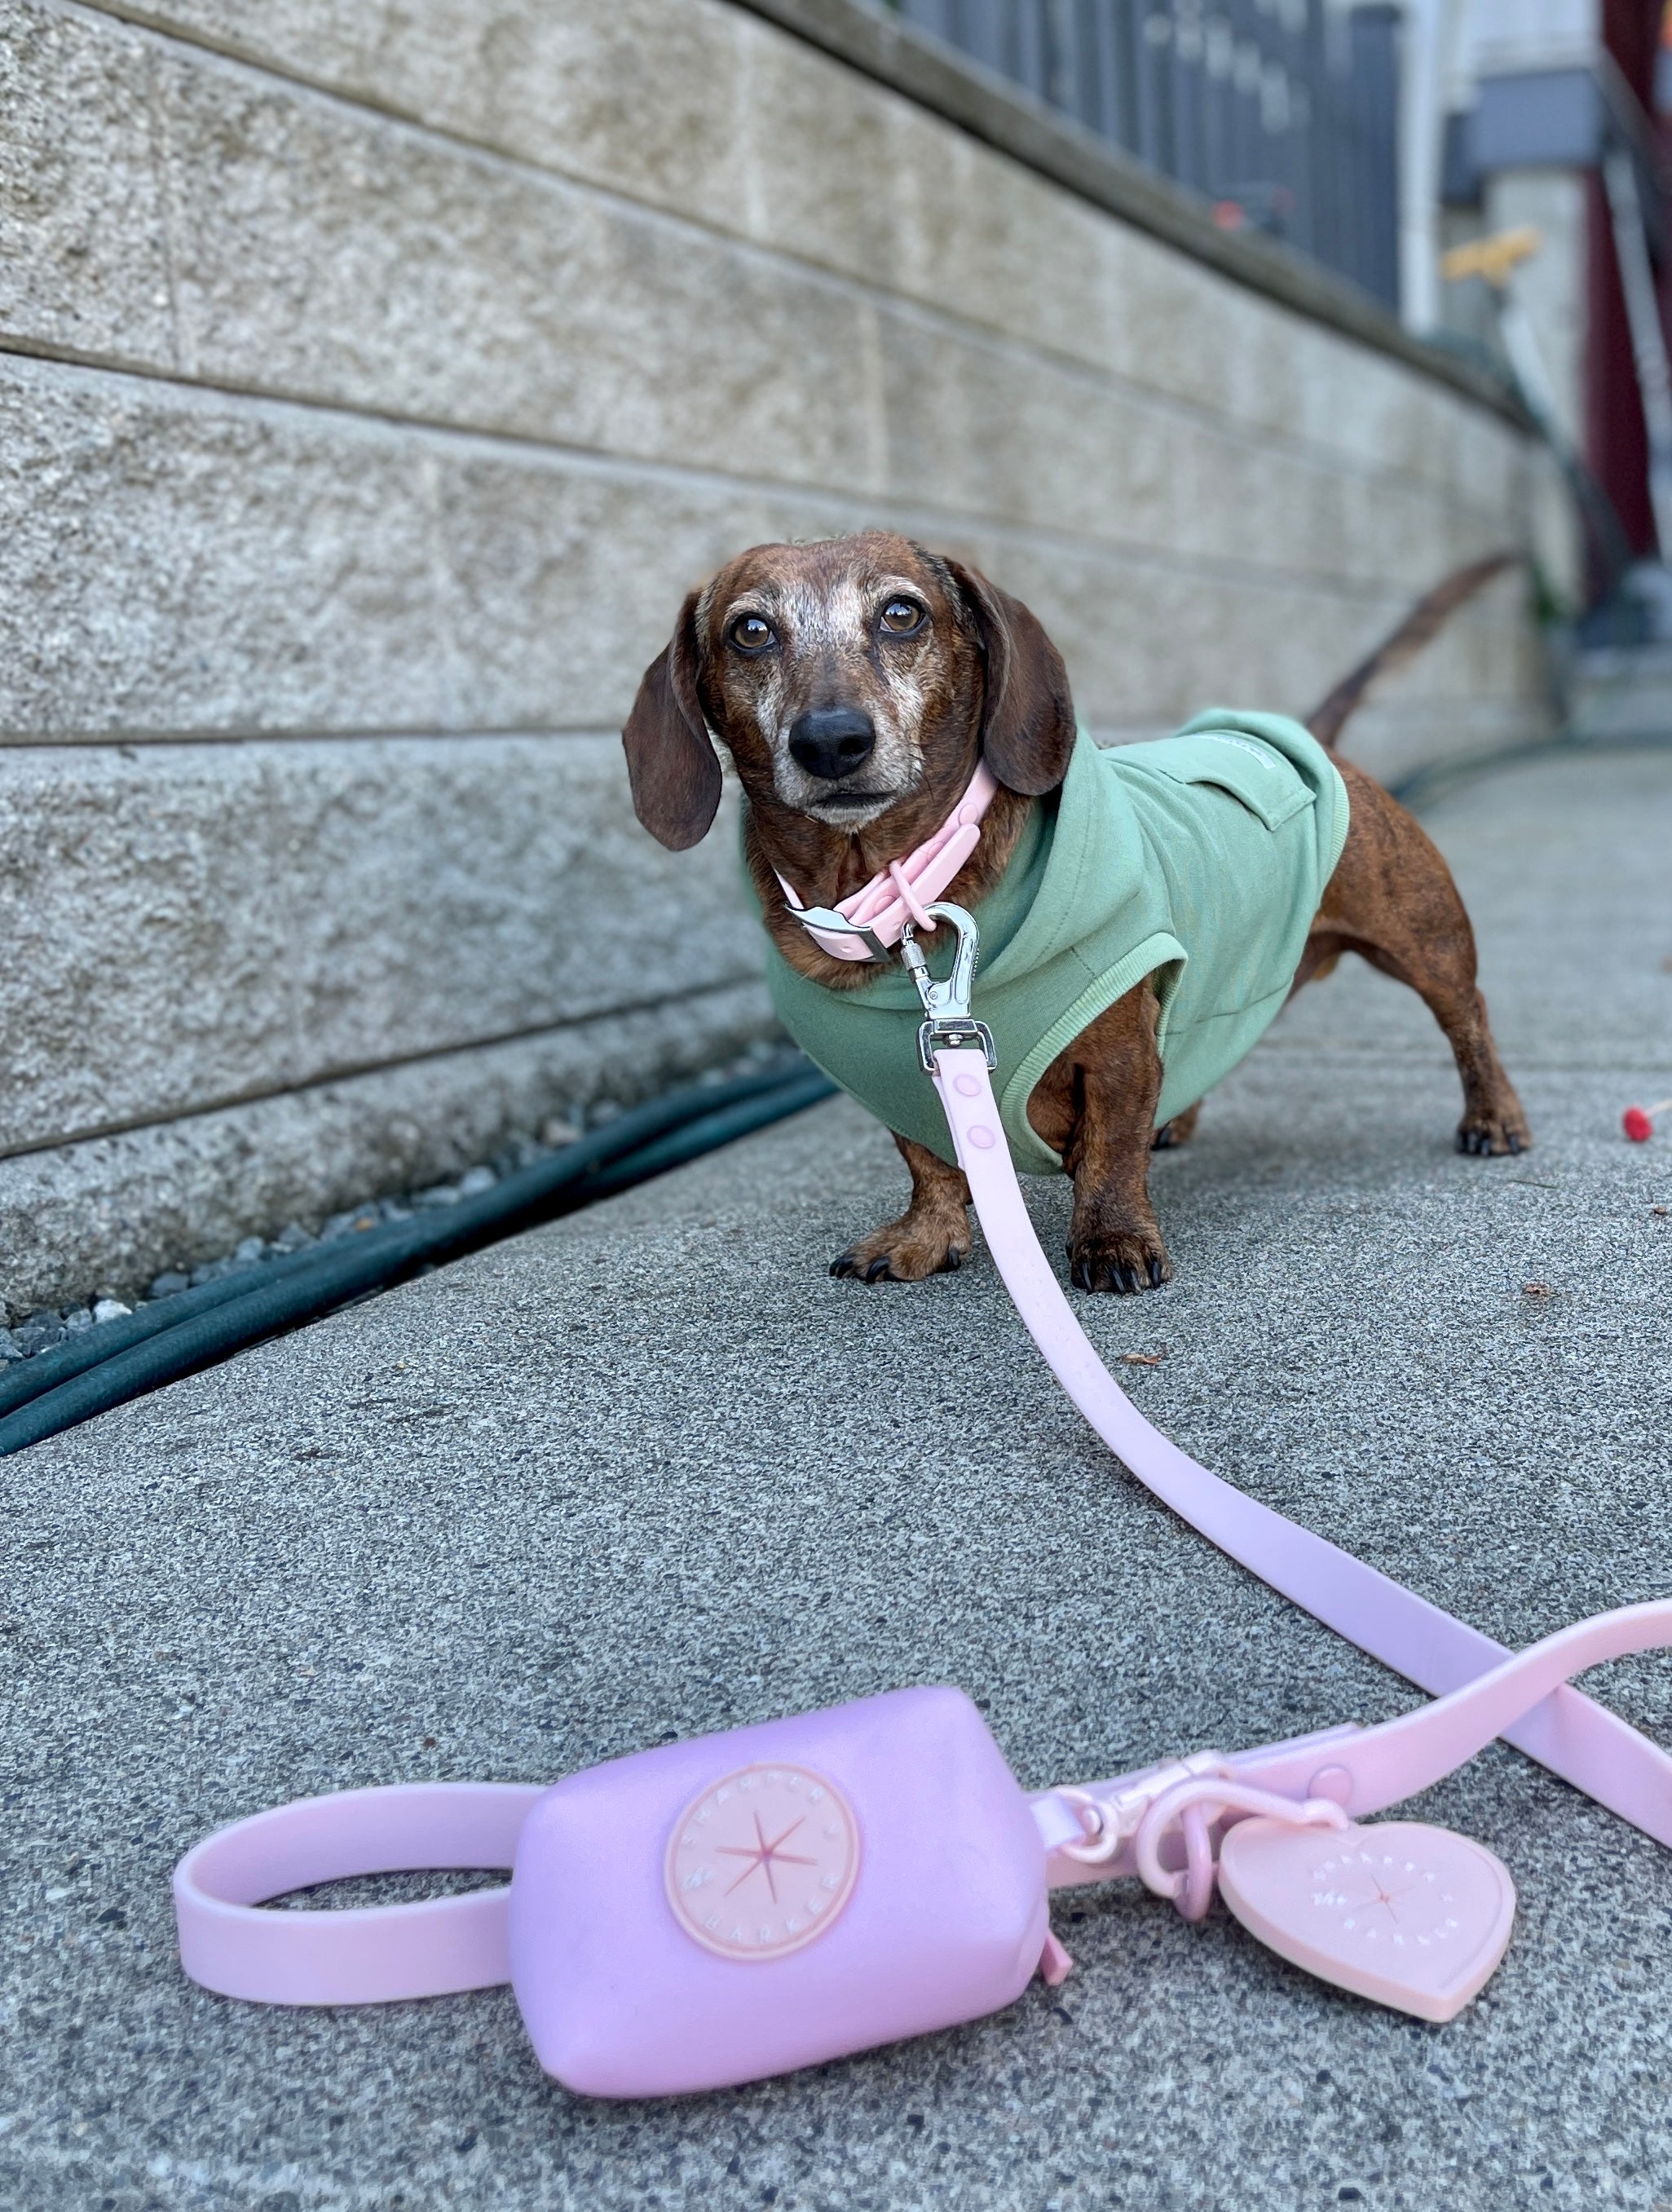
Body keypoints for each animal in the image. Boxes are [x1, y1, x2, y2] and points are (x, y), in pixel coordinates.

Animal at [624, 532, 1530, 1291]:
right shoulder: (904, 1078)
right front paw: (923, 1234)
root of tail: (1300, 740)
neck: (899, 899)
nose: (831, 742)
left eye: (901, 613)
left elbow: (1109, 1152)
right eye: (749, 631)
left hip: (1425, 943)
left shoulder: (1119, 1045)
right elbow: (927, 1161)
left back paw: (1493, 1115)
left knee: (1469, 1019)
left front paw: (1113, 1239)